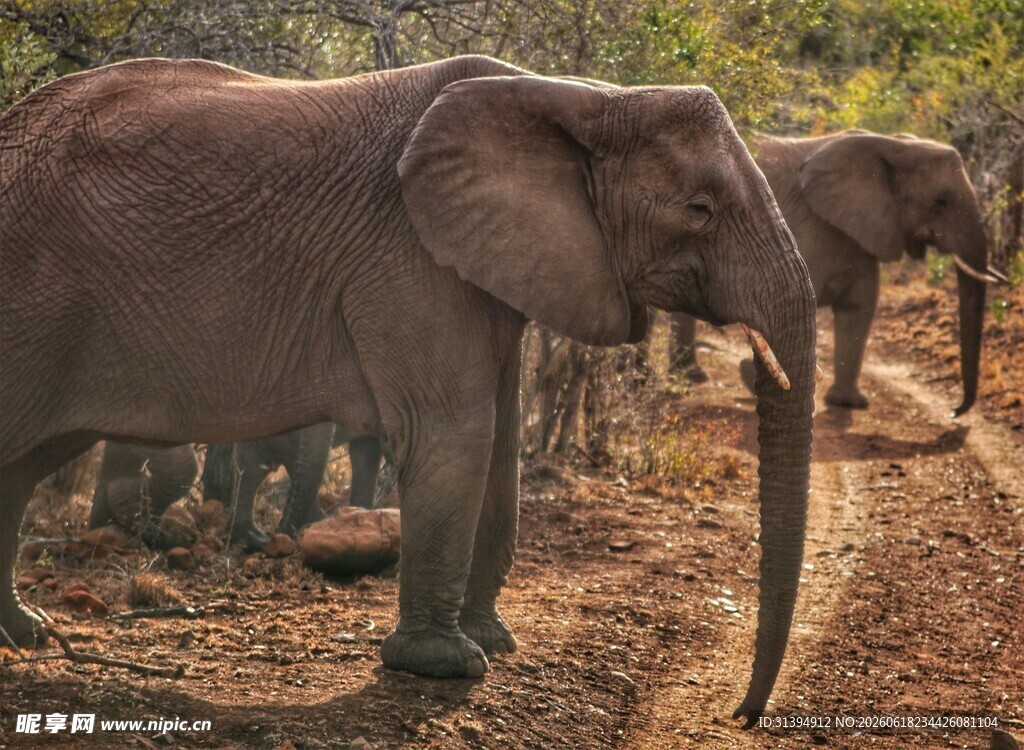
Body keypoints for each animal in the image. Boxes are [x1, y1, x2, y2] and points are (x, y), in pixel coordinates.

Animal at [670, 130, 1002, 415]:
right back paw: (690, 378)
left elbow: (859, 309)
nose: (954, 411)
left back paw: (689, 375)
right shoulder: (806, 227)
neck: (894, 145)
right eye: (940, 201)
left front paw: (848, 403)